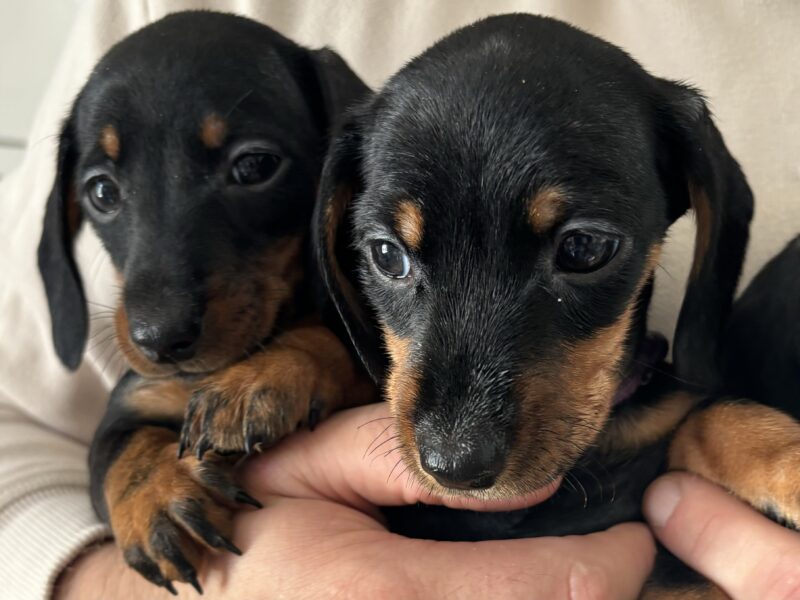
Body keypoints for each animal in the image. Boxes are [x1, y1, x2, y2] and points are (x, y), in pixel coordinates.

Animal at [38, 10, 372, 596]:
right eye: (101, 192)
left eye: (255, 166)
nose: (160, 339)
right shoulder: (131, 403)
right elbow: (115, 451)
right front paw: (154, 497)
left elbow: (332, 338)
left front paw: (264, 375)